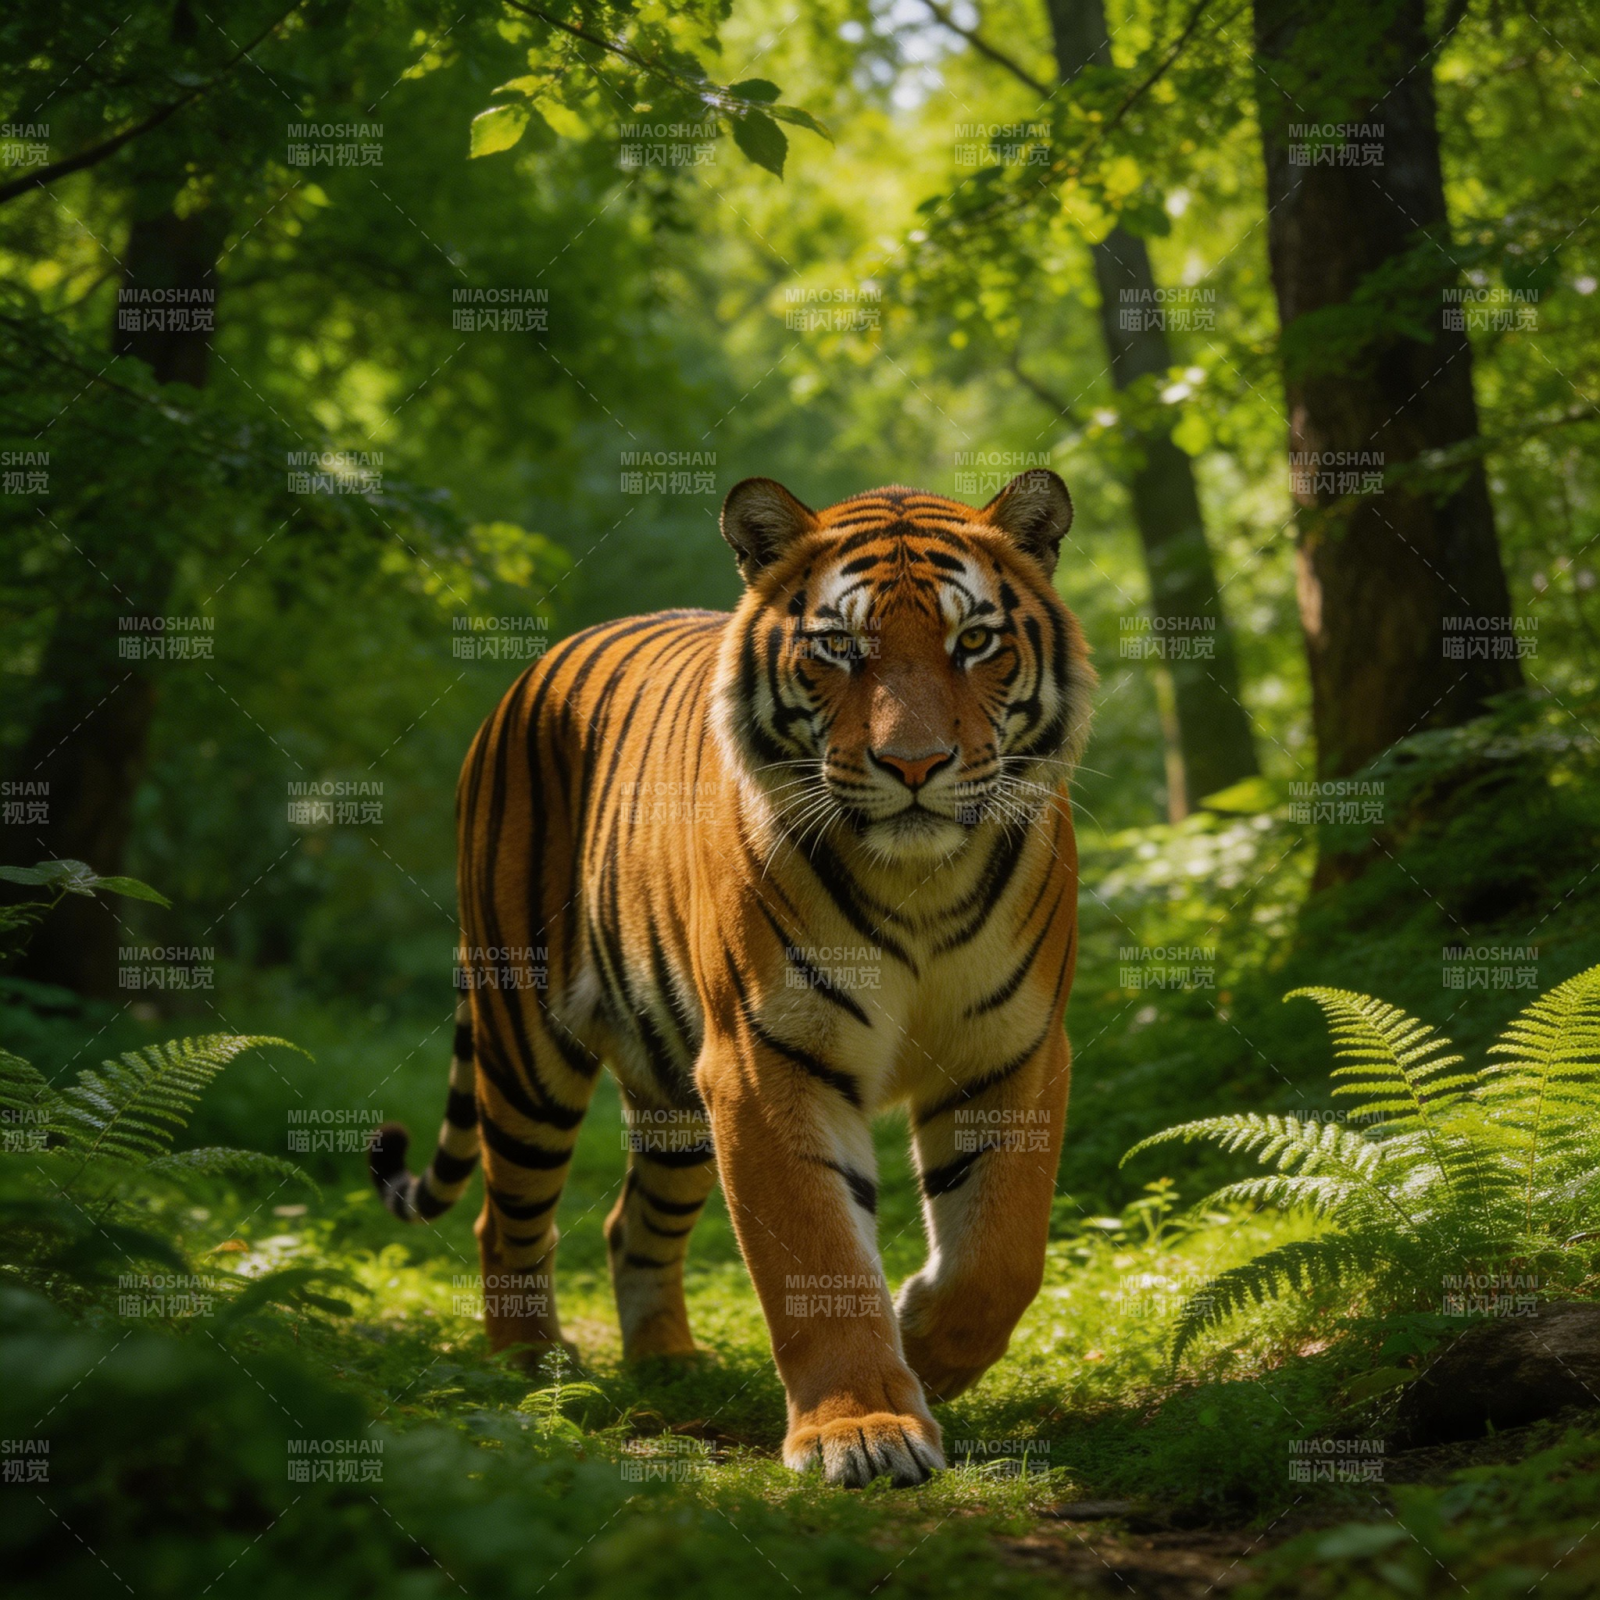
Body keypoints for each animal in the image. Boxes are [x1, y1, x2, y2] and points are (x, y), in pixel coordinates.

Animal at [371, 468, 1093, 1488]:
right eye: (840, 646)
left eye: (975, 641)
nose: (914, 764)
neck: (917, 881)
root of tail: (540, 665)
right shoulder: (767, 1060)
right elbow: (817, 1259)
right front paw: (862, 1429)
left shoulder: (1015, 1048)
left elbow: (1003, 1254)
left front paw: (926, 1343)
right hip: (525, 1046)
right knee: (505, 1221)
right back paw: (533, 1375)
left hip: (674, 1091)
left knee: (630, 1223)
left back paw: (669, 1365)